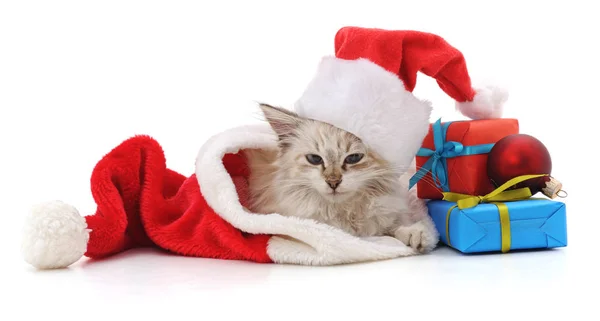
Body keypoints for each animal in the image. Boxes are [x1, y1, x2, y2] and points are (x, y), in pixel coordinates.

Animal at [246, 104, 438, 251]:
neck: (345, 211)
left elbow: (396, 226)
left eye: (354, 158)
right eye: (314, 159)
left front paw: (415, 234)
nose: (333, 182)